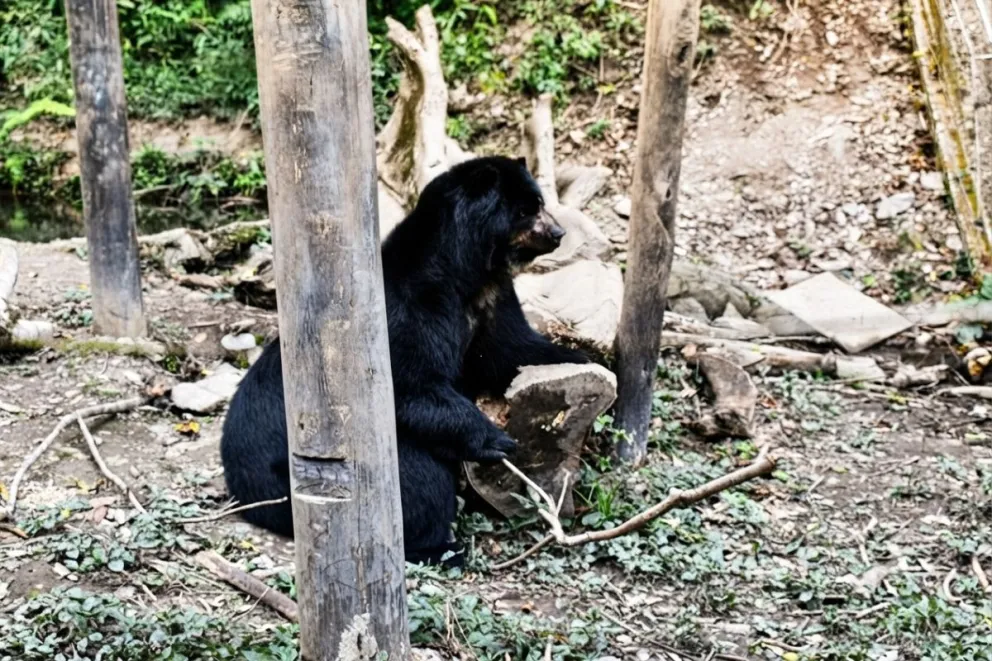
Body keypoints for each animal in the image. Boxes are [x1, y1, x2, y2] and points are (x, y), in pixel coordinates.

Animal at [220, 156, 588, 566]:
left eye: (539, 201)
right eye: (526, 209)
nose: (557, 232)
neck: (466, 272)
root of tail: (243, 488)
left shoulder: (491, 302)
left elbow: (510, 350)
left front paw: (584, 363)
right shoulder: (406, 314)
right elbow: (412, 385)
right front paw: (497, 440)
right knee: (418, 476)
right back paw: (442, 547)